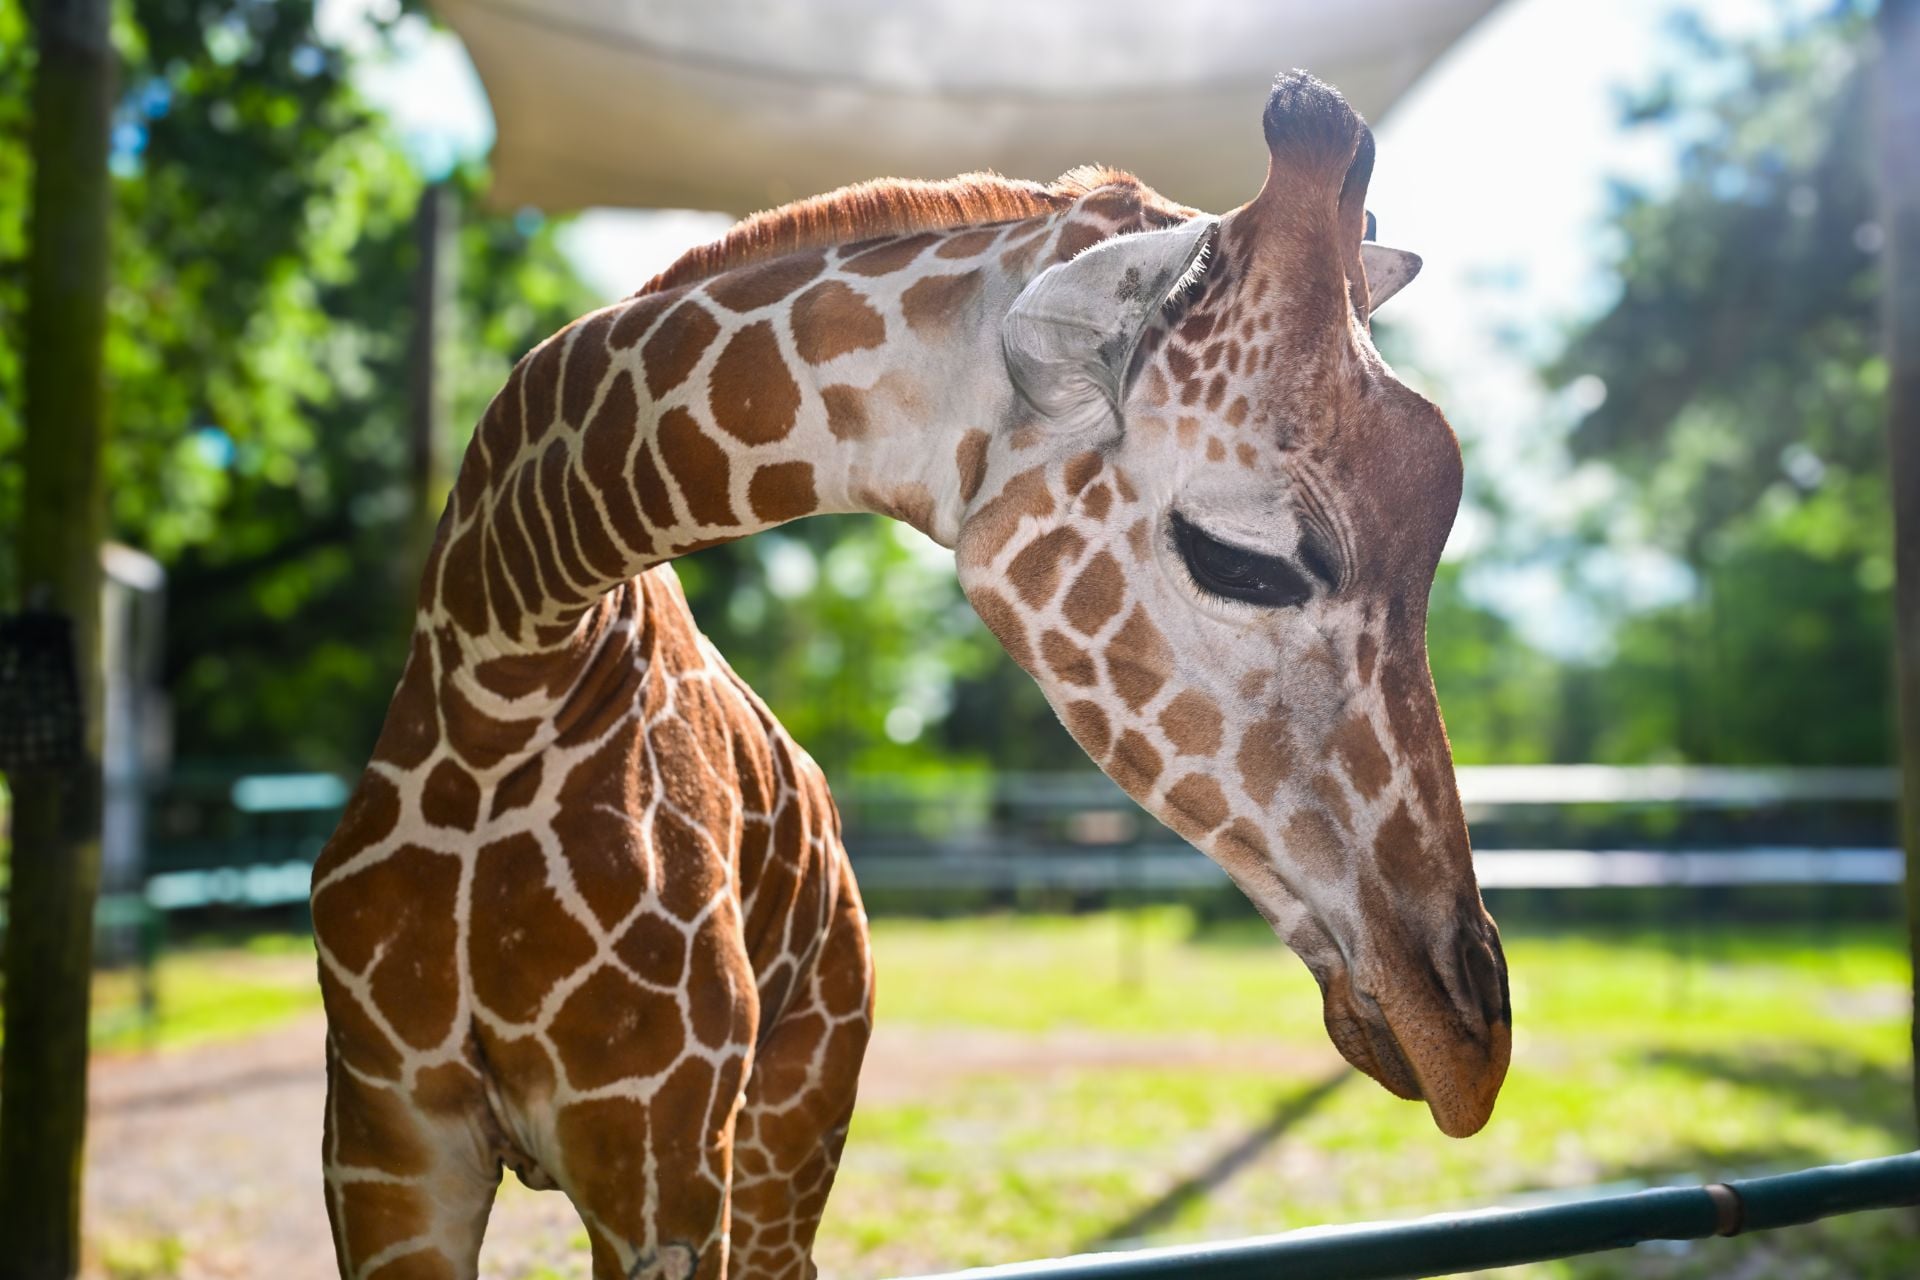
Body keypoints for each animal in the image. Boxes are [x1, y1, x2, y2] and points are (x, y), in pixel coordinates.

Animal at [311, 70, 1510, 1280]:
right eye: (1235, 557)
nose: (1471, 1035)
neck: (508, 659)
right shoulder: (385, 1140)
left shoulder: (656, 1148)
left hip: (794, 1117)